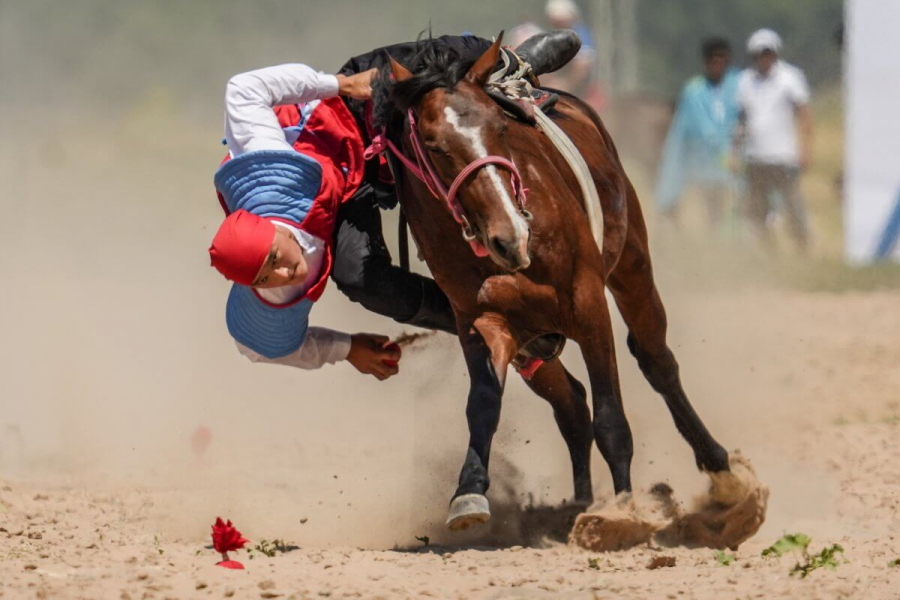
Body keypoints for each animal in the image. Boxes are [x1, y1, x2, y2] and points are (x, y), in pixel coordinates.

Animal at [372, 36, 732, 528]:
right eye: (435, 145)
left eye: (500, 128)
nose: (510, 236)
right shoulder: (482, 322)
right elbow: (483, 404)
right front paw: (469, 491)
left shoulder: (587, 302)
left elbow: (611, 420)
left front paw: (622, 512)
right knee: (572, 405)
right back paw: (579, 502)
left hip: (632, 264)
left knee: (656, 361)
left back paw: (720, 469)